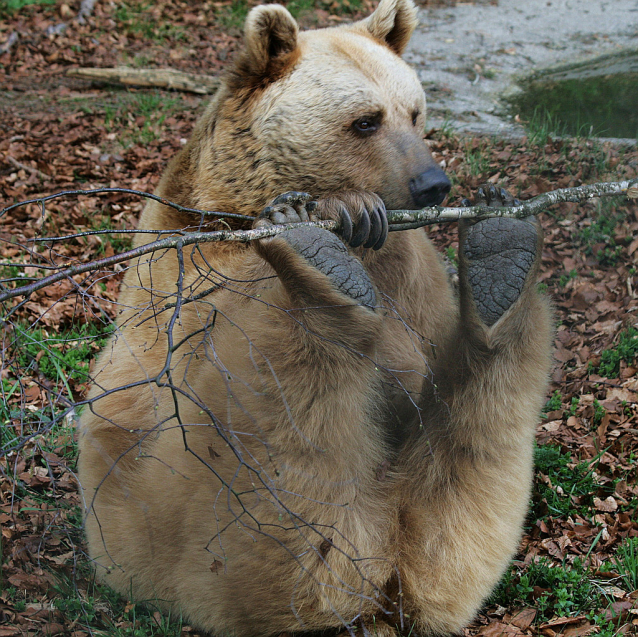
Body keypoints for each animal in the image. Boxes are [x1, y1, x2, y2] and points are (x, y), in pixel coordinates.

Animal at [76, 0, 556, 632]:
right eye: (366, 121)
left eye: (415, 112)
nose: (433, 184)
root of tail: (381, 584)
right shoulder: (192, 255)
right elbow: (205, 310)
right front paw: (345, 212)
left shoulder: (418, 284)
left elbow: (426, 355)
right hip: (167, 504)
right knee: (277, 433)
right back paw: (320, 270)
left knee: (465, 478)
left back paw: (499, 251)